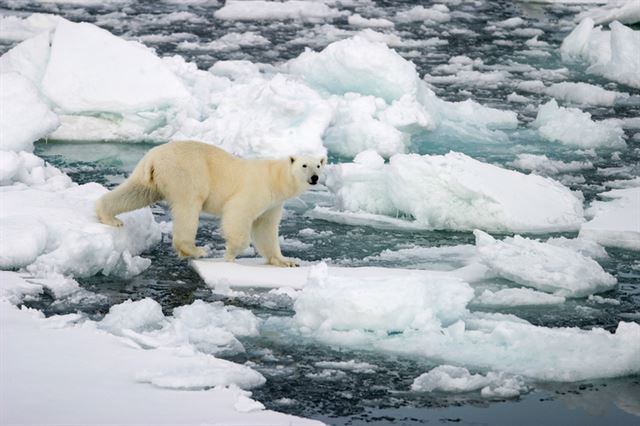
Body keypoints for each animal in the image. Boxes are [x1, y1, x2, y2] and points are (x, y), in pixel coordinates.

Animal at [96, 141, 324, 266]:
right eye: (305, 165)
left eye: (319, 165)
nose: (314, 177)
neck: (275, 178)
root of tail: (153, 157)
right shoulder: (256, 190)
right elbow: (238, 212)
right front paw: (230, 254)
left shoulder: (273, 204)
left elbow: (265, 228)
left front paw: (286, 261)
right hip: (186, 173)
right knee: (189, 206)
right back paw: (196, 250)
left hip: (151, 177)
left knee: (136, 192)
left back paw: (109, 216)